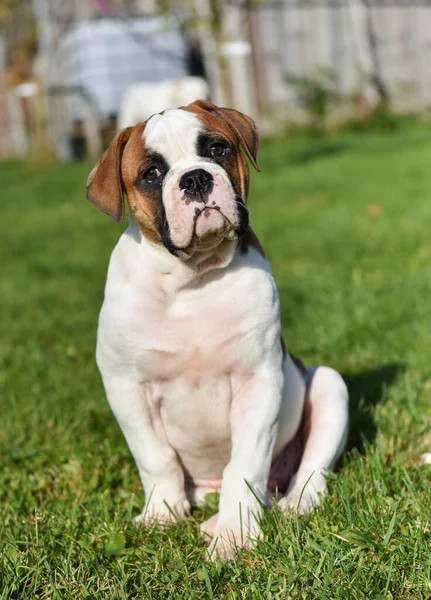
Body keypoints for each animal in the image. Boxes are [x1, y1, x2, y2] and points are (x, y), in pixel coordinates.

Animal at [86, 99, 350, 556]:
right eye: (151, 174)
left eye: (217, 149)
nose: (195, 178)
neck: (192, 279)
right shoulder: (126, 387)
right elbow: (155, 458)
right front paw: (161, 514)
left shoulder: (257, 383)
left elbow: (244, 466)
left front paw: (234, 535)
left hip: (330, 386)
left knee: (311, 472)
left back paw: (289, 504)